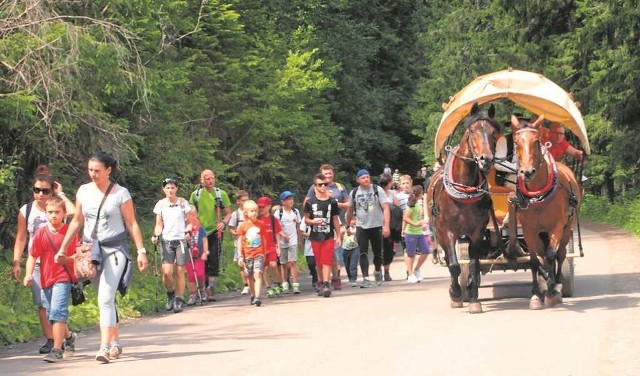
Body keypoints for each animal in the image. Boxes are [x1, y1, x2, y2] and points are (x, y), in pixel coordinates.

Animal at [428, 101, 502, 312]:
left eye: (494, 132)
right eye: (472, 130)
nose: (486, 159)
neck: (465, 188)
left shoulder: (477, 232)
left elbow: (474, 263)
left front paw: (473, 296)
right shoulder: (447, 231)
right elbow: (454, 265)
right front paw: (456, 293)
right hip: (439, 232)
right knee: (449, 260)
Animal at [512, 116, 584, 310]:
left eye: (537, 142)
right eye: (516, 142)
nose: (527, 172)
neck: (537, 197)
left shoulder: (556, 227)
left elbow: (552, 255)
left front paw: (551, 291)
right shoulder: (529, 231)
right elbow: (534, 261)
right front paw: (536, 294)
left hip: (567, 228)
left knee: (560, 254)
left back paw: (556, 283)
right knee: (543, 257)